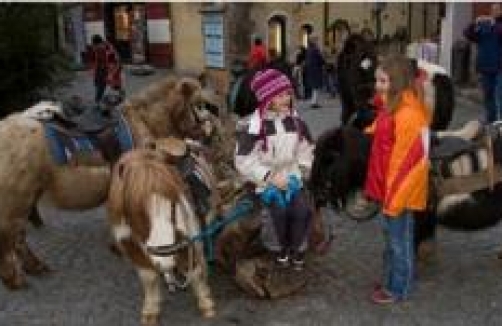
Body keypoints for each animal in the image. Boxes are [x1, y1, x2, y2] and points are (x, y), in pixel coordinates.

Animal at [108, 138, 218, 326]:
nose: (165, 256)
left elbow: (195, 271)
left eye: (173, 202)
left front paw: (206, 304)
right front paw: (150, 311)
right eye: (136, 210)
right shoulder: (130, 245)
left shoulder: (187, 239)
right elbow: (149, 278)